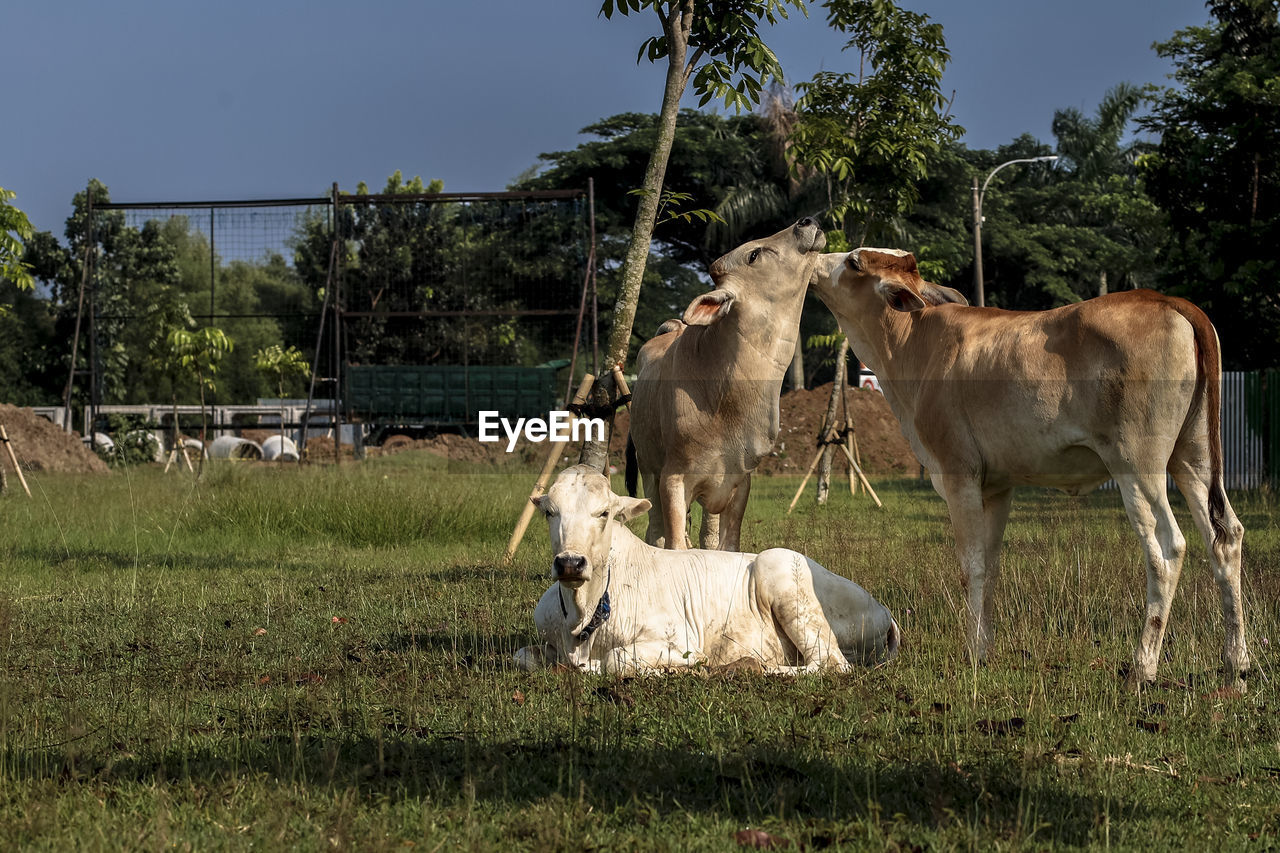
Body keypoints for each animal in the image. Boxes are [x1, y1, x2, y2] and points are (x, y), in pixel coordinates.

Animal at [512, 461, 901, 676]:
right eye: (549, 512)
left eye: (604, 512)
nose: (570, 563)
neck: (584, 615)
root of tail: (885, 611)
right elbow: (523, 656)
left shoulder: (681, 641)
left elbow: (615, 660)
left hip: (781, 571)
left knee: (829, 664)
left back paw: (747, 667)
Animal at [624, 212, 824, 545]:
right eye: (753, 255)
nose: (806, 221)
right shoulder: (672, 479)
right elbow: (674, 542)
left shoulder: (740, 480)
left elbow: (727, 544)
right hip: (647, 468)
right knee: (657, 532)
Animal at [808, 249, 1249, 686]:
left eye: (854, 262)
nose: (816, 261)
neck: (913, 346)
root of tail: (1165, 299)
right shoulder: (997, 486)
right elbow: (990, 566)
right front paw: (985, 651)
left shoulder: (958, 472)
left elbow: (971, 567)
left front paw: (972, 656)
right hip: (1193, 456)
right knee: (1225, 536)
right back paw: (1236, 664)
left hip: (1137, 463)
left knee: (1166, 547)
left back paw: (1142, 668)